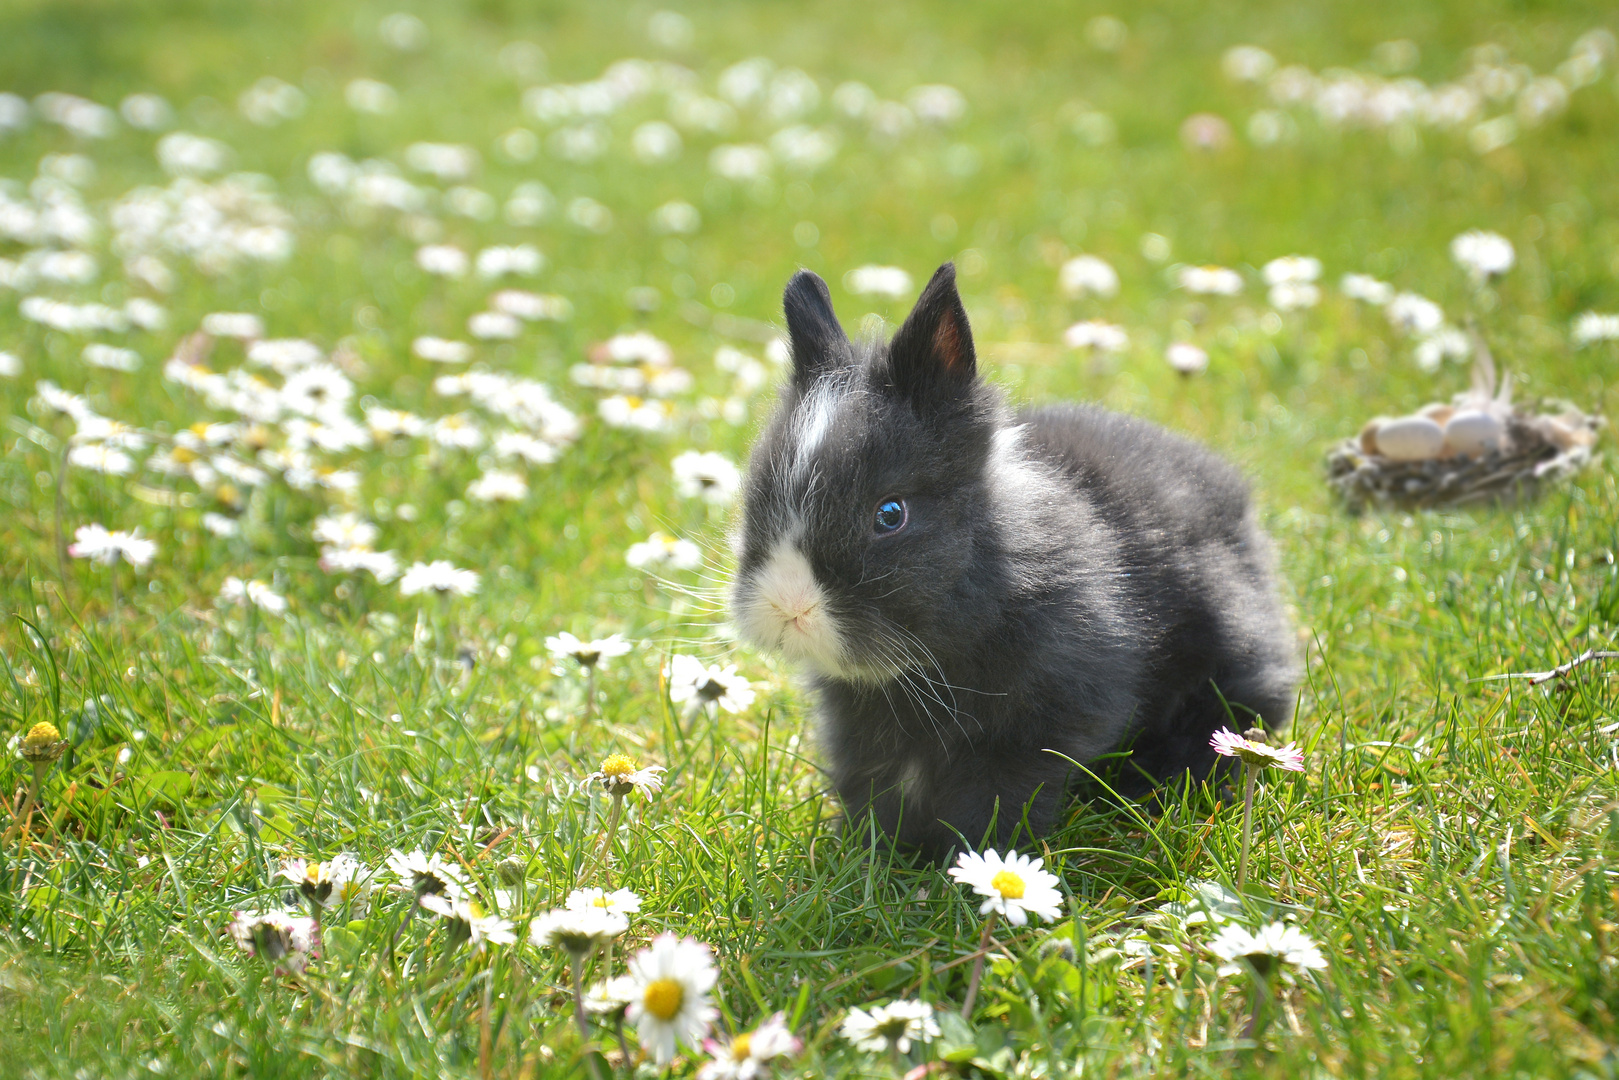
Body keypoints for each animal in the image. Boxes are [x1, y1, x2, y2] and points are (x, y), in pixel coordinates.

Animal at [735, 262, 1301, 861]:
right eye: (757, 495)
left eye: (890, 514)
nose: (788, 608)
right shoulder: (860, 735)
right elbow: (874, 791)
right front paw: (874, 857)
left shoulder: (1036, 732)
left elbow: (996, 801)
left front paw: (970, 864)